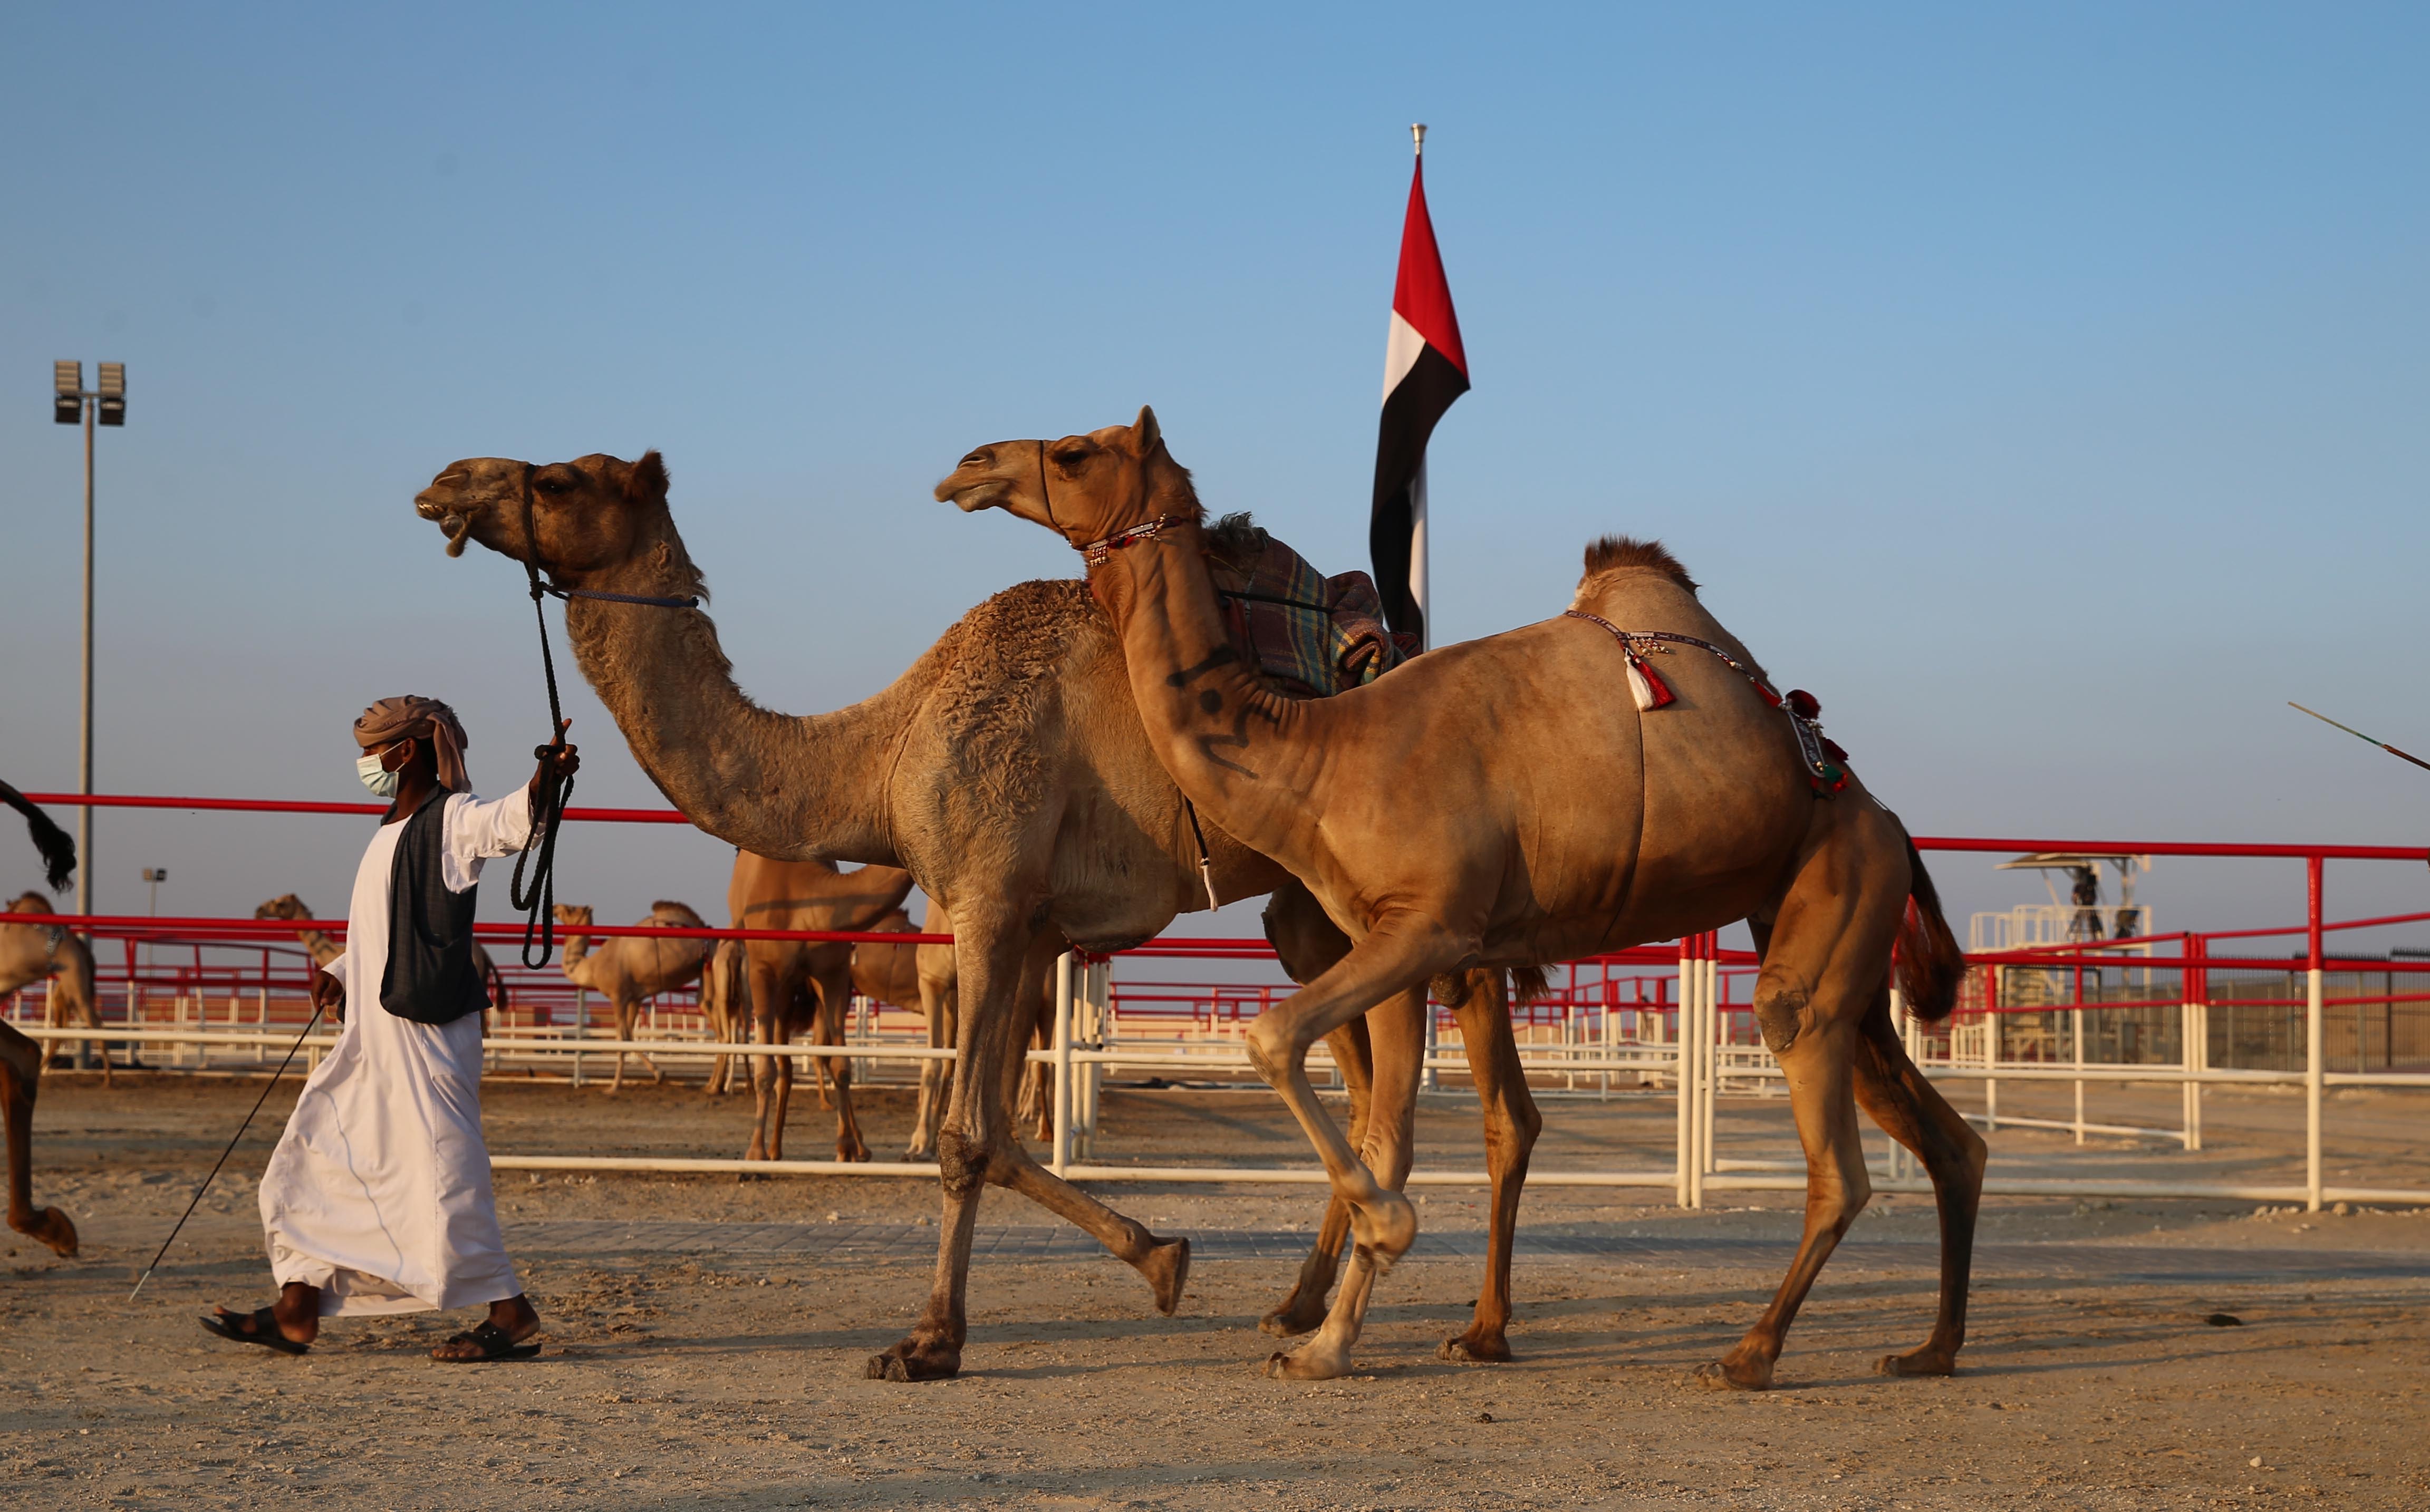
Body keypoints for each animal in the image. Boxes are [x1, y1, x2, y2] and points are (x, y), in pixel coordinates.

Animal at [558, 904, 719, 1093]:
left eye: (570, 909)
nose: (555, 908)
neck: (592, 967)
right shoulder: (635, 998)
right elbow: (629, 1037)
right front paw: (660, 1074)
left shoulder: (618, 996)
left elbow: (621, 1039)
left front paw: (614, 1086)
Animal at [724, 856, 913, 1162]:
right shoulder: (762, 971)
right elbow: (766, 1069)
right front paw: (755, 1152)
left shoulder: (833, 973)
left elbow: (841, 1065)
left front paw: (846, 1148)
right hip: (778, 986)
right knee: (783, 1065)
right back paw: (772, 1148)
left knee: (793, 1064)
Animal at [938, 408, 1983, 1390]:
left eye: (1075, 451)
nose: (968, 465)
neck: (1323, 754)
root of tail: (1886, 817)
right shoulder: (1393, 946)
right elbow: (1385, 1132)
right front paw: (1325, 1345)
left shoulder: (1432, 927)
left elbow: (1272, 1040)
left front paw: (1383, 1241)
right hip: (1830, 932)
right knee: (1945, 1135)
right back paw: (1928, 1350)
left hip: (1830, 899)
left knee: (1830, 1149)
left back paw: (1749, 1354)